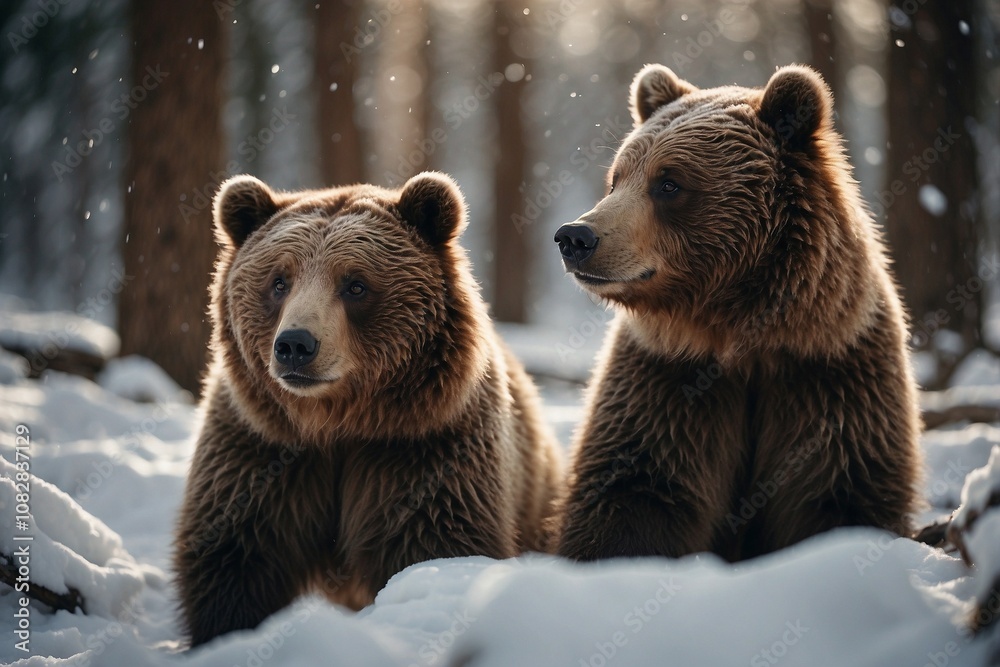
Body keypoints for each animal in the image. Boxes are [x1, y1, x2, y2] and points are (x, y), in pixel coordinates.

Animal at [173, 171, 563, 646]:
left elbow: (432, 541)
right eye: (279, 281)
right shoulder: (261, 447)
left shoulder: (421, 448)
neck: (336, 423)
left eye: (355, 284)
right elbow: (234, 559)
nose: (295, 345)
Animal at [551, 64, 923, 562]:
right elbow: (635, 487)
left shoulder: (830, 372)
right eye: (617, 178)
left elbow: (838, 492)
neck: (739, 333)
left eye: (668, 182)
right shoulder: (668, 378)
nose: (576, 237)